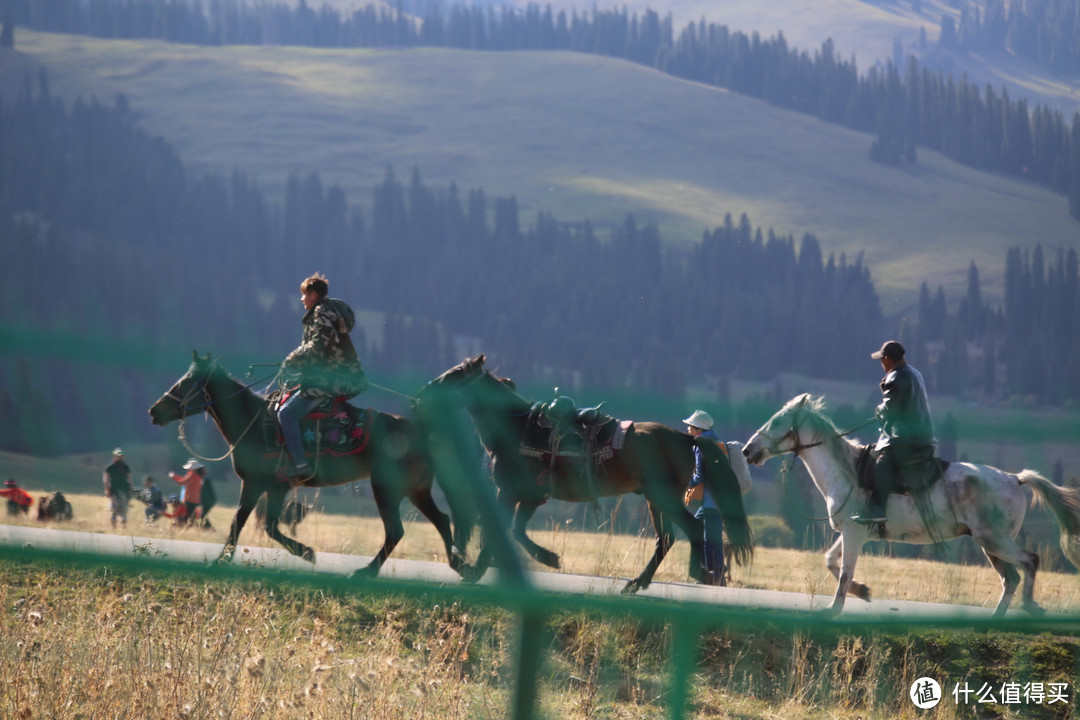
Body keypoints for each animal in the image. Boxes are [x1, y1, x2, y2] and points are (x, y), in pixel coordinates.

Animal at [150, 351, 470, 578]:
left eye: (185, 383)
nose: (154, 411)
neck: (253, 422)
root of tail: (423, 435)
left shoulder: (265, 484)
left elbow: (255, 524)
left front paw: (303, 553)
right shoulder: (263, 486)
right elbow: (252, 523)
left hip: (386, 488)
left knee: (396, 531)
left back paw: (365, 571)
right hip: (416, 489)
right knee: (441, 520)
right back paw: (462, 567)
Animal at [410, 351, 751, 595]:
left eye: (453, 375)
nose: (419, 399)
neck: (515, 428)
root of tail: (686, 438)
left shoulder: (511, 491)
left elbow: (505, 530)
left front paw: (476, 571)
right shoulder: (530, 495)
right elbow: (515, 529)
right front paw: (544, 558)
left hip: (663, 496)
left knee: (690, 530)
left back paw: (694, 573)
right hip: (655, 499)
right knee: (665, 539)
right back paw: (637, 583)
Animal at [743, 397, 1080, 617]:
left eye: (776, 421)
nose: (748, 450)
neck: (849, 472)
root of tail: (1014, 478)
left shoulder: (854, 534)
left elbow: (845, 573)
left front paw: (833, 609)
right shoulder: (852, 532)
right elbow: (830, 561)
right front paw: (863, 591)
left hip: (995, 541)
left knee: (1029, 562)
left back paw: (1031, 606)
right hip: (990, 545)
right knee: (1010, 578)